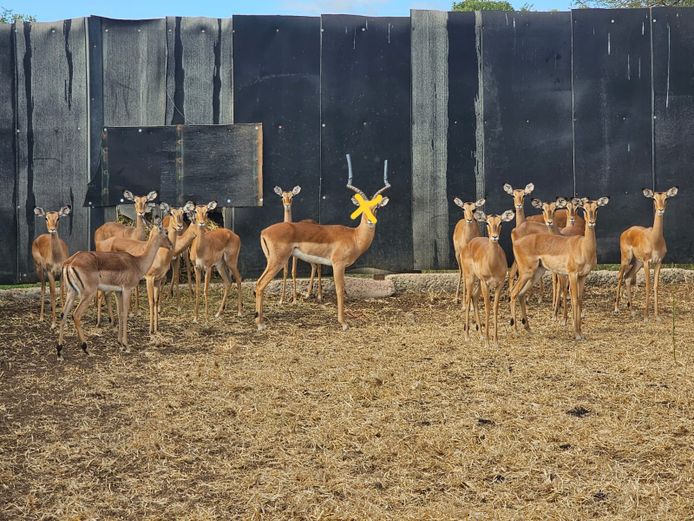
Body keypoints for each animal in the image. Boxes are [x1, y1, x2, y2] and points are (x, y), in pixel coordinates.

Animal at [57, 220, 173, 360]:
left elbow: (119, 313)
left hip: (72, 293)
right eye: (166, 232)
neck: (137, 262)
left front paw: (120, 343)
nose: (171, 245)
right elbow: (125, 313)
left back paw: (59, 351)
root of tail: (70, 262)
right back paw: (86, 349)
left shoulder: (118, 292)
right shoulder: (127, 289)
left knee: (63, 315)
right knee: (76, 315)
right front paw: (126, 345)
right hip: (88, 294)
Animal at [255, 154, 391, 331]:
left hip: (271, 260)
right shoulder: (338, 264)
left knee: (258, 284)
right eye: (361, 207)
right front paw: (344, 323)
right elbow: (340, 290)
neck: (354, 236)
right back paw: (260, 324)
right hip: (277, 261)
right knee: (260, 284)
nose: (371, 222)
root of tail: (264, 232)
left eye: (377, 208)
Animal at [461, 209, 515, 347]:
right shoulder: (485, 283)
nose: (494, 237)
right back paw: (467, 336)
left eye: (501, 222)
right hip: (471, 279)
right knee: (468, 300)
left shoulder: (499, 284)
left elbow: (495, 308)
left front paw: (495, 341)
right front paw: (487, 343)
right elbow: (487, 307)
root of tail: (468, 245)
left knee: (474, 297)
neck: (493, 264)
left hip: (478, 283)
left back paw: (480, 335)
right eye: (487, 222)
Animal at [510, 197, 609, 340]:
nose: (591, 222)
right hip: (526, 273)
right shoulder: (572, 274)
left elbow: (580, 300)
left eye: (597, 208)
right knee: (513, 292)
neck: (583, 247)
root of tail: (516, 242)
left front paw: (580, 332)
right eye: (584, 209)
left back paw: (528, 328)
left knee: (521, 294)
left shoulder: (583, 276)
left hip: (536, 273)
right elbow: (574, 299)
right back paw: (516, 331)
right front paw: (576, 333)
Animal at [614, 187, 678, 319]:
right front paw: (646, 317)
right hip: (626, 259)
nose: (660, 210)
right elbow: (648, 286)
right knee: (619, 275)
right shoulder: (647, 262)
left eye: (666, 198)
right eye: (654, 198)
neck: (655, 240)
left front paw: (657, 316)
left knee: (628, 277)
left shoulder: (658, 262)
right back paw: (616, 308)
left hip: (637, 262)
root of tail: (626, 231)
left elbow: (655, 286)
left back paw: (632, 311)